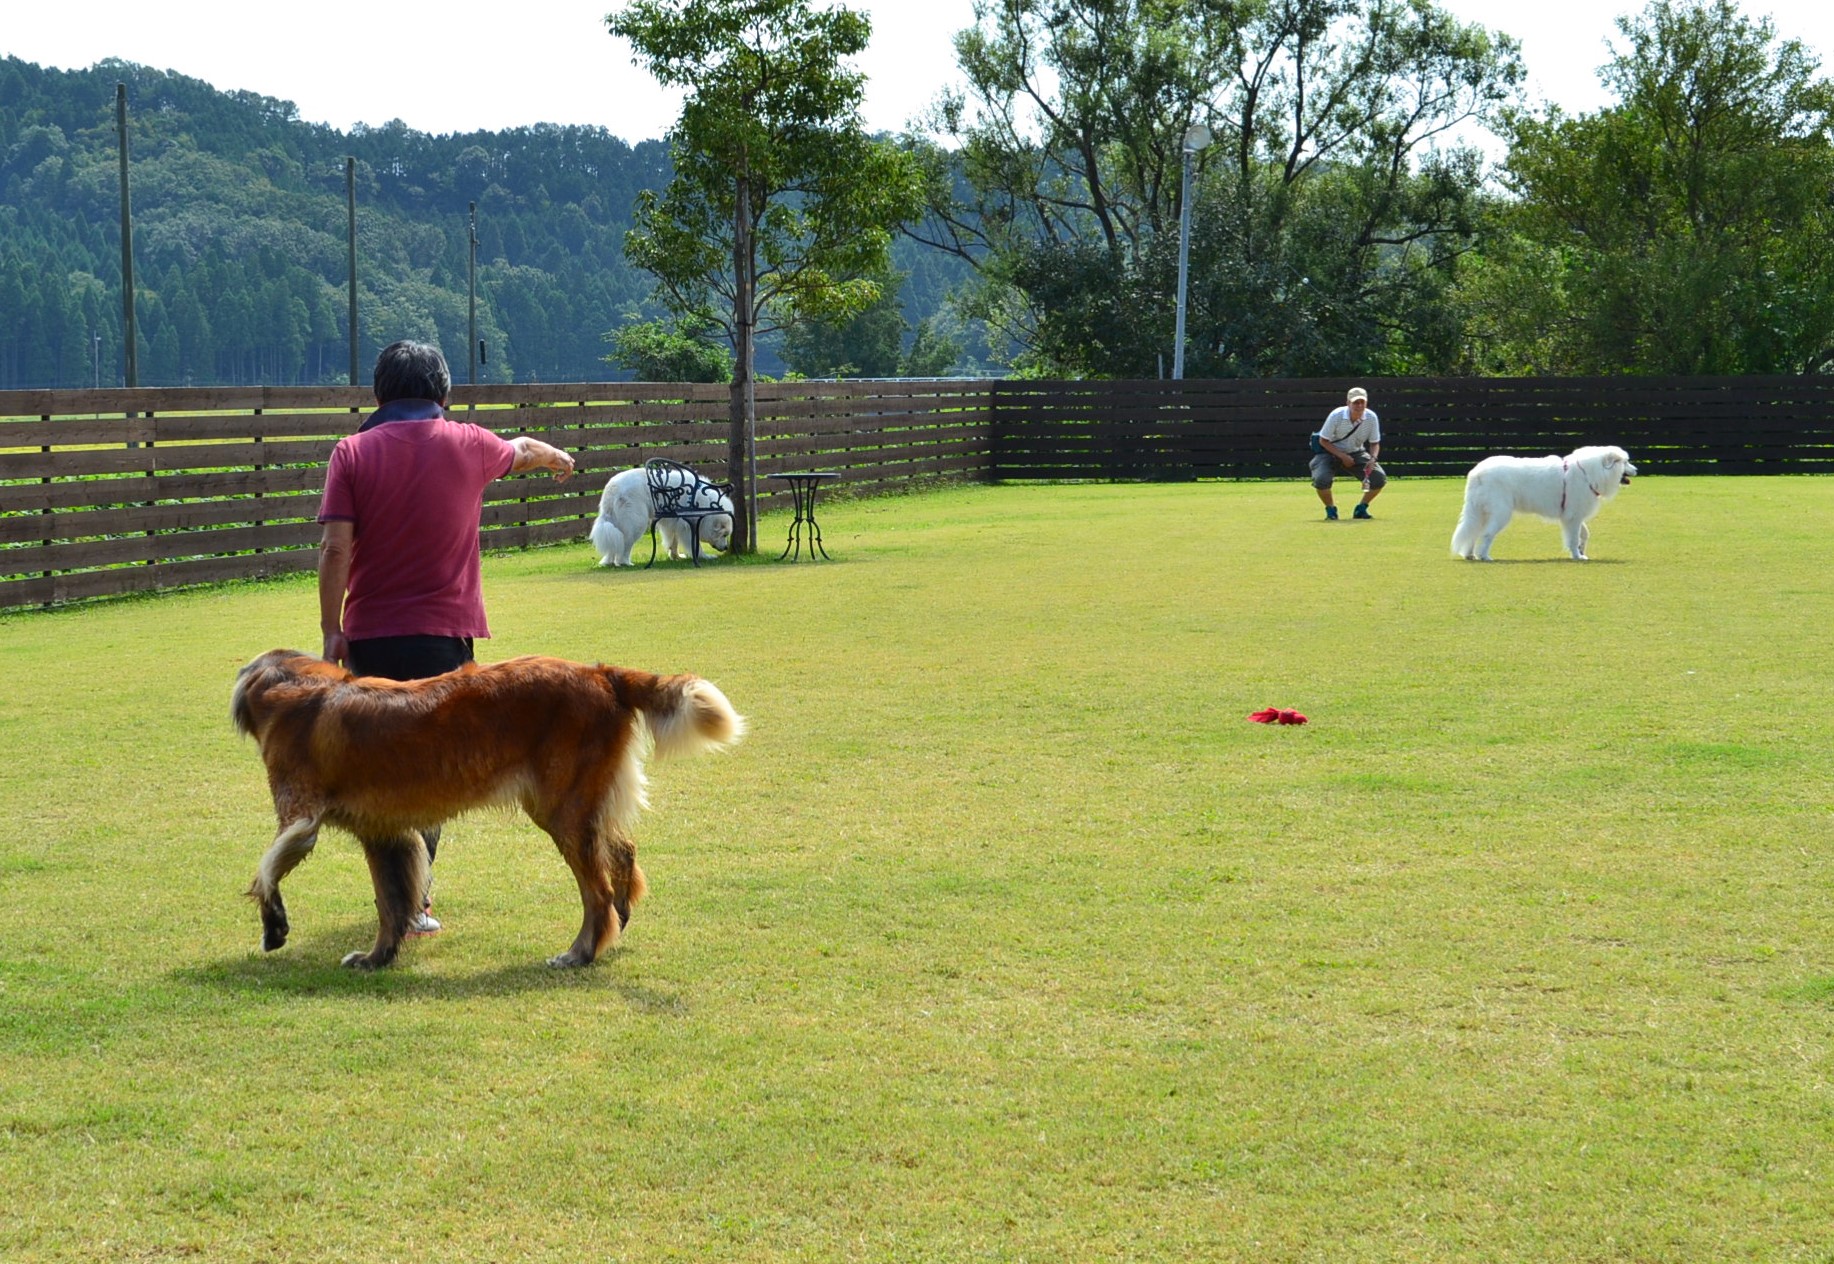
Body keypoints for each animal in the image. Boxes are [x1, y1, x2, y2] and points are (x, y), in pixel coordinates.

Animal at [232, 649, 740, 968]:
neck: (296, 684)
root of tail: (600, 672)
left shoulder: (301, 821)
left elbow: (266, 870)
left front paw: (274, 926)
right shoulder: (385, 835)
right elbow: (390, 903)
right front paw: (378, 958)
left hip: (563, 814)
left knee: (595, 892)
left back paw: (581, 952)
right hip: (577, 809)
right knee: (623, 852)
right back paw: (620, 914)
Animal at [586, 460, 729, 565]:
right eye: (724, 535)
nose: (726, 548)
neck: (703, 501)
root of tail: (612, 488)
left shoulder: (674, 523)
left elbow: (673, 541)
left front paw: (676, 556)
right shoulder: (687, 526)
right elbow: (695, 545)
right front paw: (705, 557)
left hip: (614, 524)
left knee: (615, 542)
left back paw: (608, 562)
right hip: (637, 523)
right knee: (625, 545)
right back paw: (625, 563)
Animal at [1452, 445, 1643, 561]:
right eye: (1626, 462)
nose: (1637, 470)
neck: (1589, 473)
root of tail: (1477, 473)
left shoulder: (1573, 515)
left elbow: (1584, 534)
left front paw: (1582, 552)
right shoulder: (1573, 517)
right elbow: (1574, 538)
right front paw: (1577, 555)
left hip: (1479, 513)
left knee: (1473, 533)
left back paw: (1470, 555)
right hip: (1500, 514)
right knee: (1486, 534)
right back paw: (1485, 556)